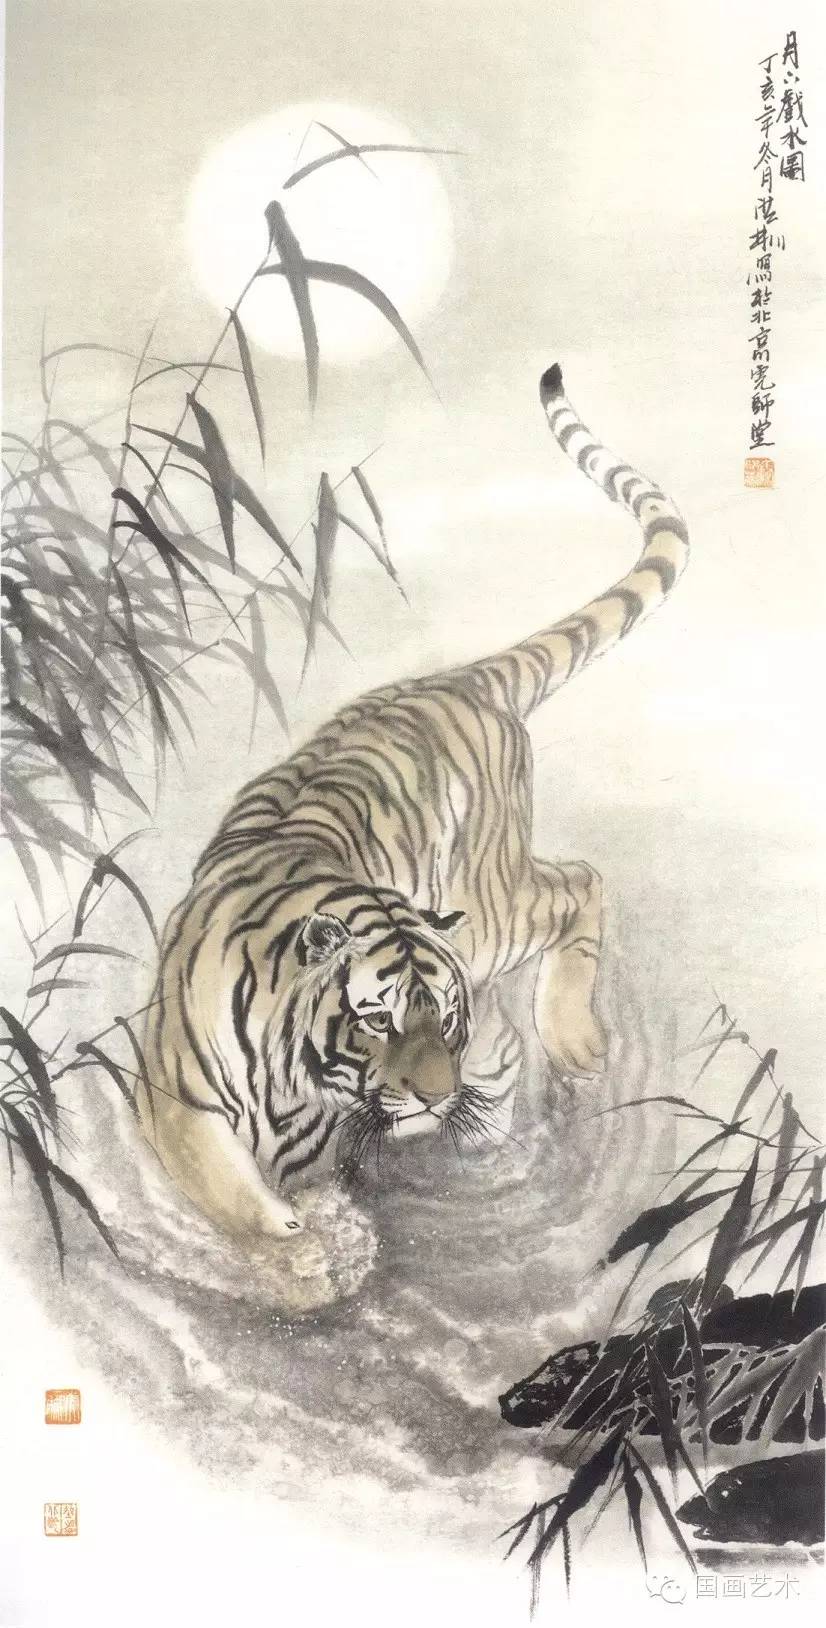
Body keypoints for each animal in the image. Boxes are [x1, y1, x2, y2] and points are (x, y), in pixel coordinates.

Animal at [138, 364, 689, 1242]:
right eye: (376, 1019)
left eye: (445, 1017)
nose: (434, 1095)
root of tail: (463, 677)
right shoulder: (174, 1096)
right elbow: (233, 1194)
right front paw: (295, 1247)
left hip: (492, 910)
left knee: (581, 882)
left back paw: (570, 1045)